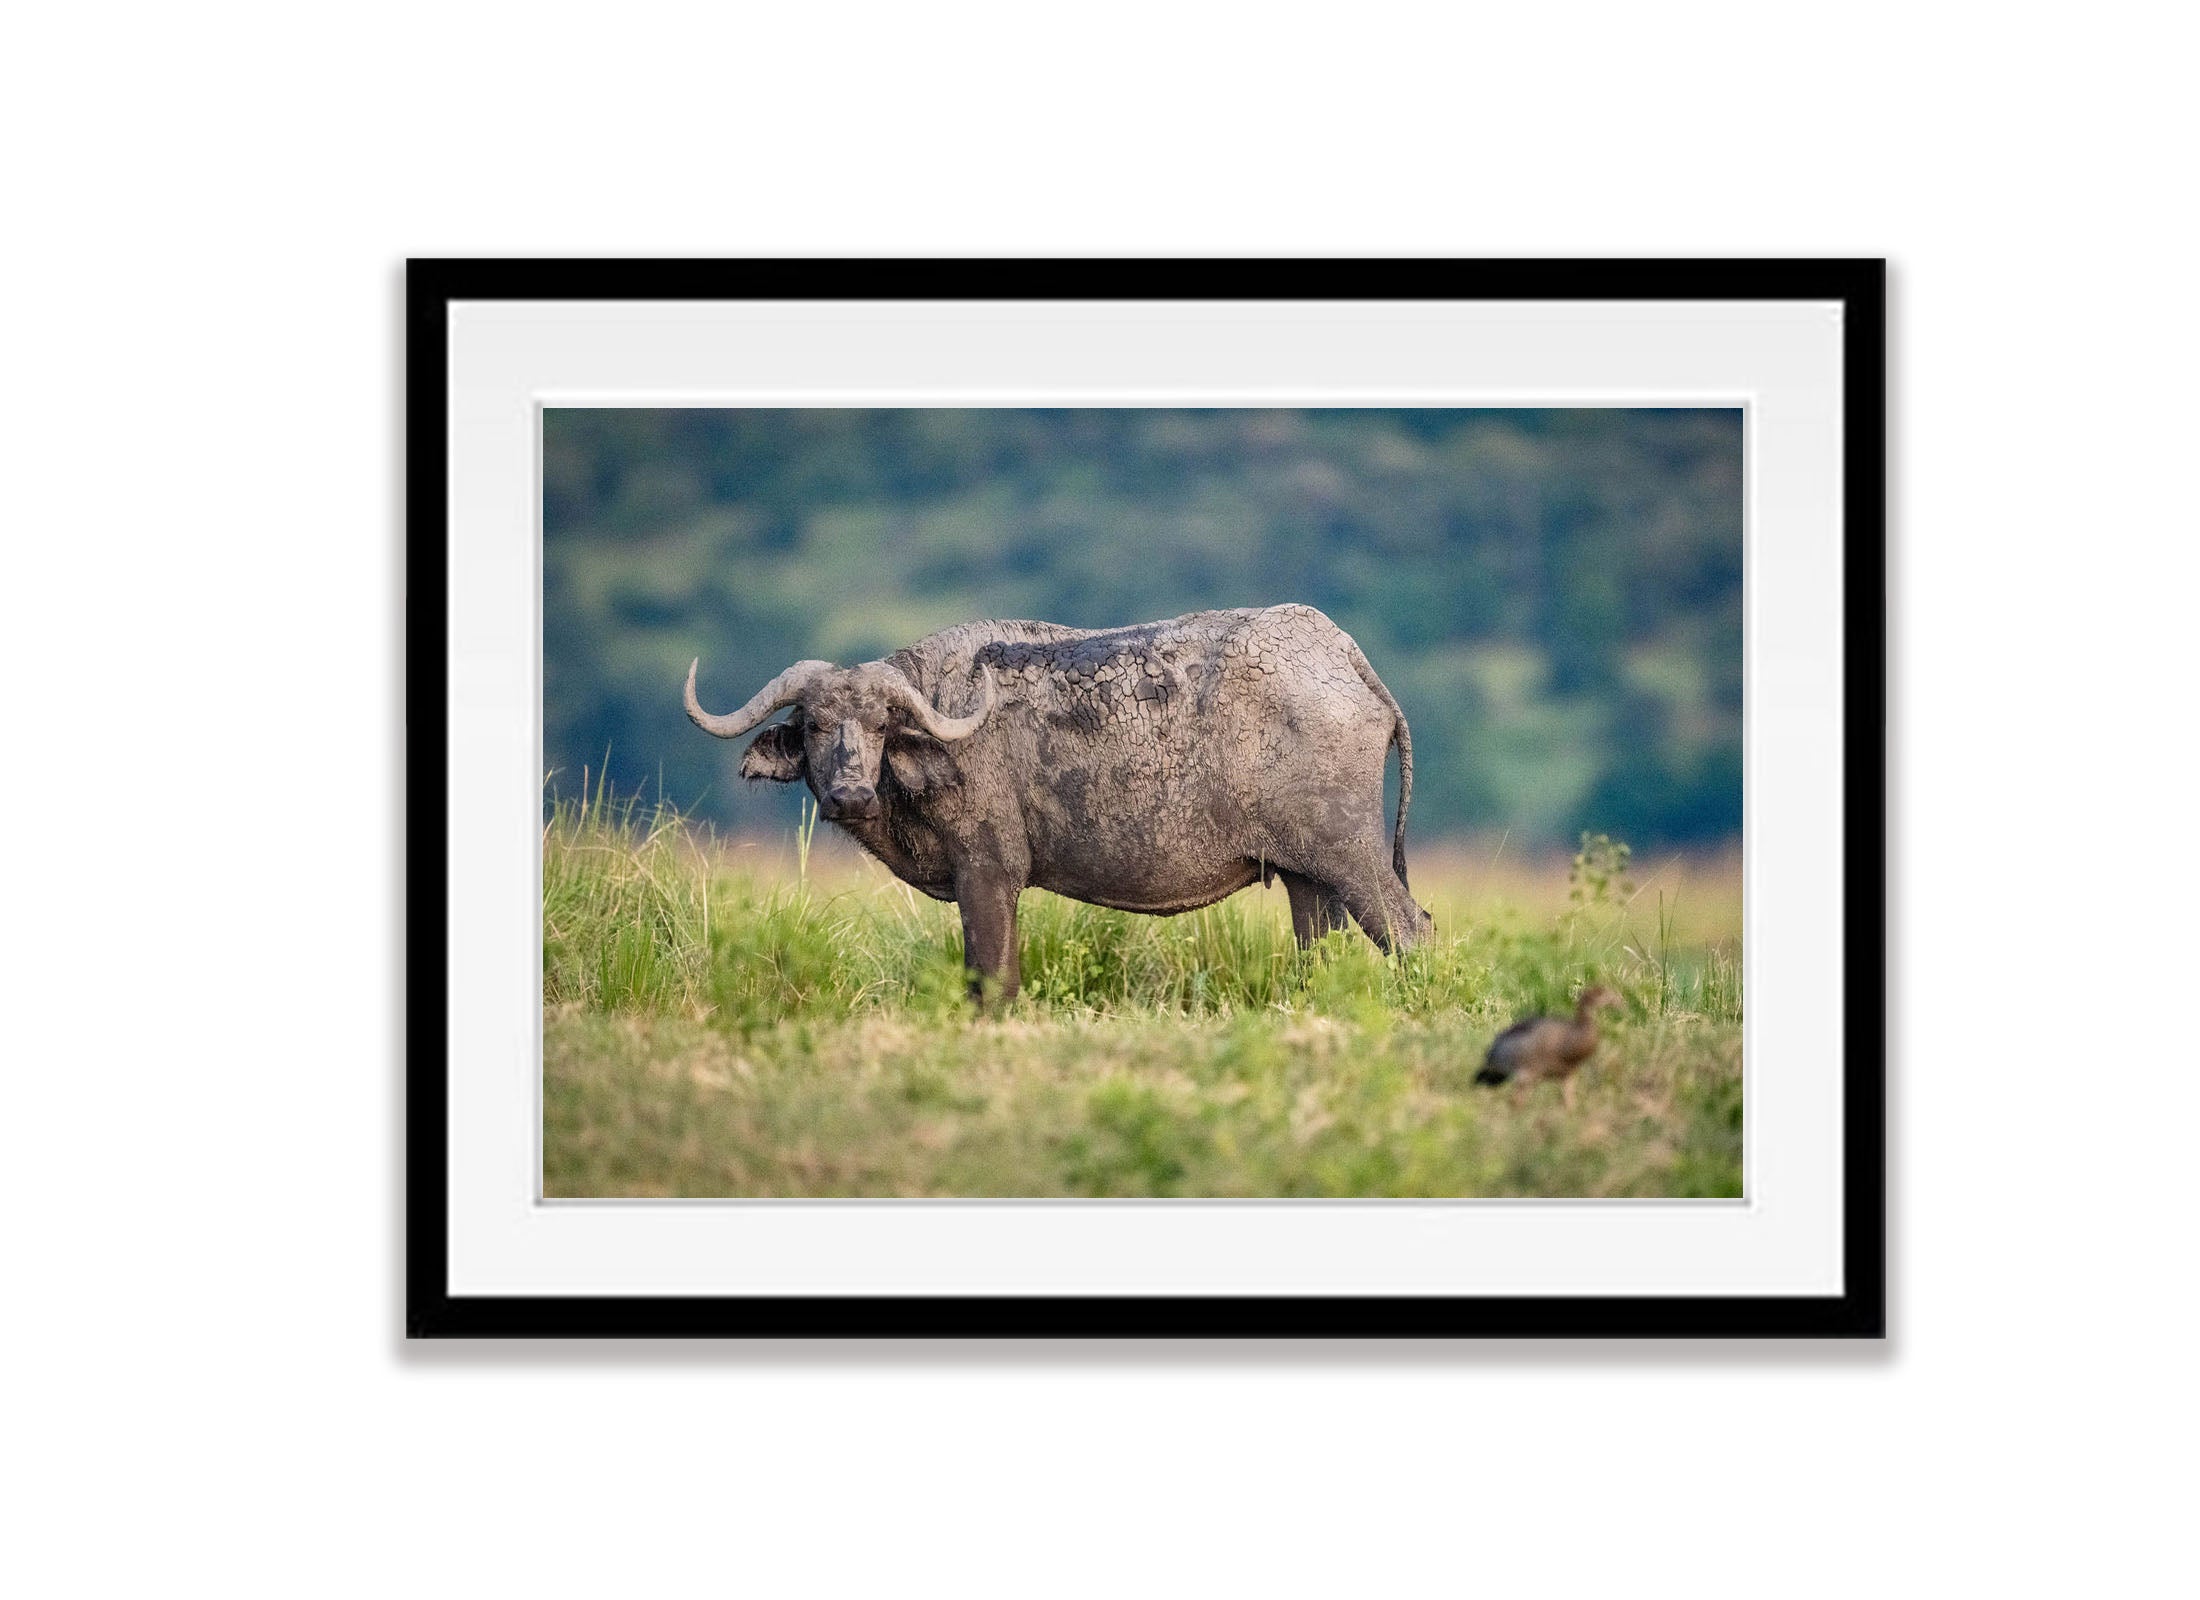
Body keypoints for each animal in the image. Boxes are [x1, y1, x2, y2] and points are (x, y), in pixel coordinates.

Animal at [690, 611, 1443, 1003]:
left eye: (880, 725)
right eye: (814, 724)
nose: (849, 791)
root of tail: (1344, 655)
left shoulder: (987, 873)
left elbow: (993, 979)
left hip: (1350, 859)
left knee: (1414, 932)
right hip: (1305, 879)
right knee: (1322, 958)